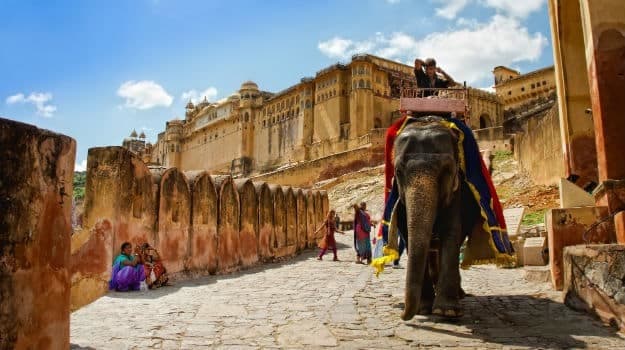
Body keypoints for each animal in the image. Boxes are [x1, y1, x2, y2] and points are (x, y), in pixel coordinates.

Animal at [386, 116, 482, 322]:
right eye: (398, 171)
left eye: (446, 170)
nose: (402, 315)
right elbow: (409, 237)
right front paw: (423, 309)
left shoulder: (456, 193)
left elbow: (451, 234)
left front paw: (447, 311)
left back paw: (458, 294)